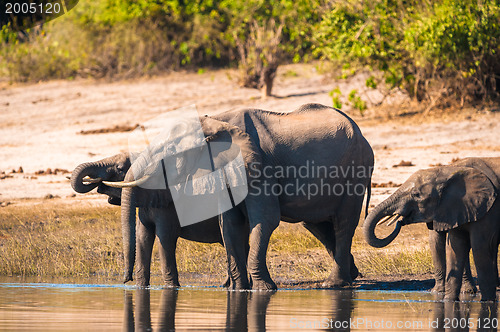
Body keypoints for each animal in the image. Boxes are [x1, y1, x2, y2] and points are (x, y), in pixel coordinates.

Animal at [93, 102, 376, 290]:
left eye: (169, 152)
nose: (125, 279)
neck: (214, 121)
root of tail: (362, 134)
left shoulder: (257, 166)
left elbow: (265, 220)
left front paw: (264, 290)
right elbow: (229, 224)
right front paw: (239, 291)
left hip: (355, 171)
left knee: (343, 223)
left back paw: (333, 284)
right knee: (318, 225)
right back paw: (351, 275)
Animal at [364, 158, 500, 300]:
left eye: (416, 194)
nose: (400, 221)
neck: (449, 171)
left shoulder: (489, 208)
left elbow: (480, 247)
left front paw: (486, 302)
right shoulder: (454, 209)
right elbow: (448, 245)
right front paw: (440, 296)